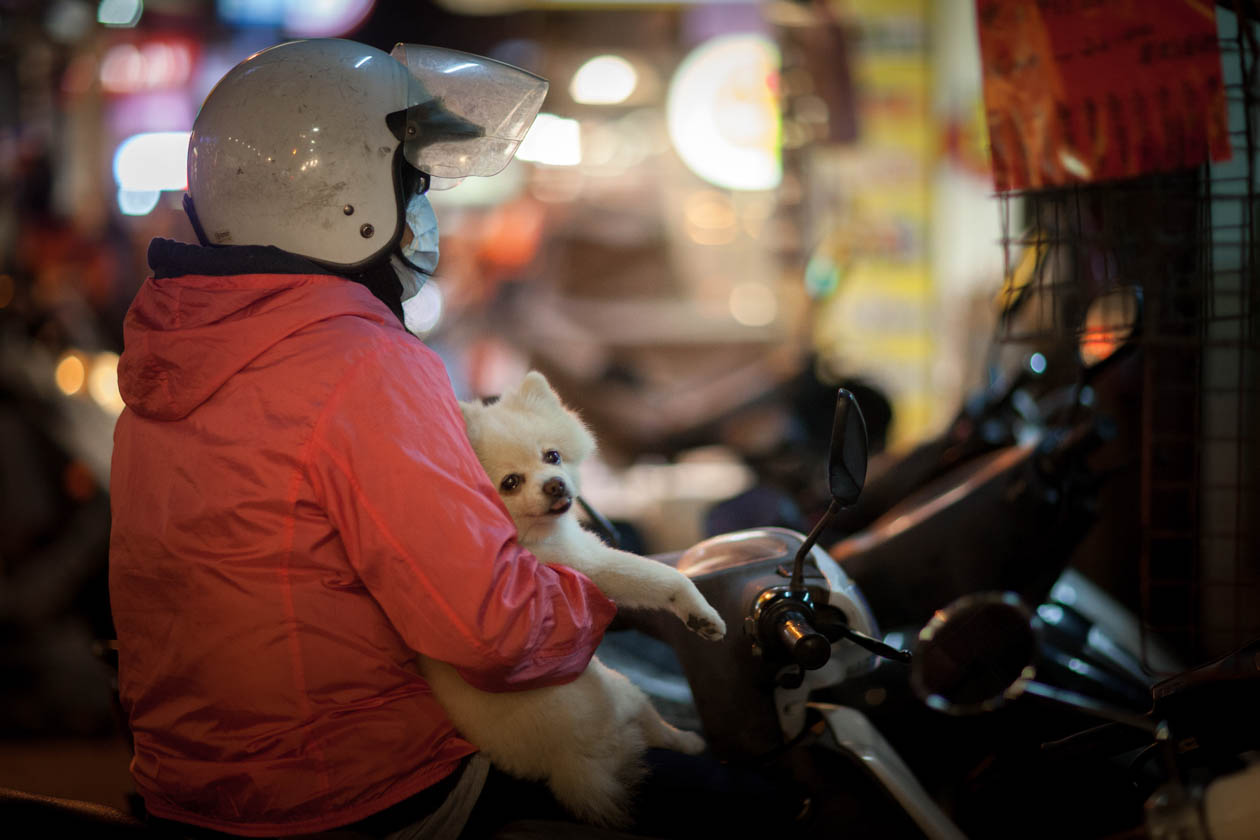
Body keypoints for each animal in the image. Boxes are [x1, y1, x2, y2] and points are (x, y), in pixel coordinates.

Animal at [418, 372, 725, 826]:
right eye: (511, 482)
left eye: (553, 456)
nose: (555, 484)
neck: (528, 535)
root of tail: (568, 762)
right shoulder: (591, 564)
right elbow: (663, 577)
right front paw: (699, 613)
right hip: (624, 690)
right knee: (656, 727)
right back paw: (691, 741)